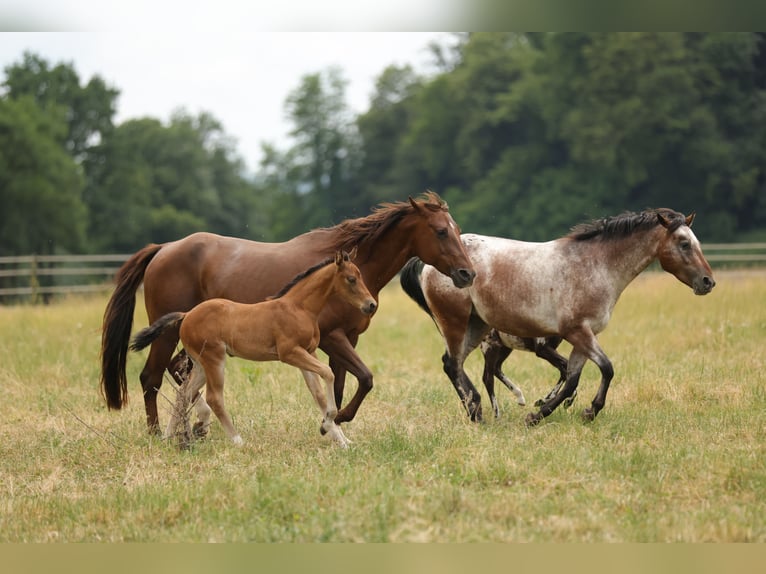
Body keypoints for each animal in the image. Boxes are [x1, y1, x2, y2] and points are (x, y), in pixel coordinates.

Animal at [129, 251, 377, 448]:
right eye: (351, 279)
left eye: (360, 276)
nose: (371, 305)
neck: (298, 307)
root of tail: (187, 314)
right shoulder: (290, 353)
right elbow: (329, 373)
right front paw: (329, 425)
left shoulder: (308, 352)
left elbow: (318, 394)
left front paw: (340, 438)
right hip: (214, 359)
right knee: (214, 397)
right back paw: (237, 440)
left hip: (199, 364)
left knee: (183, 393)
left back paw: (168, 438)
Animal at [400, 208, 716, 425]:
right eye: (684, 244)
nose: (708, 281)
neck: (596, 266)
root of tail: (428, 263)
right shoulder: (577, 333)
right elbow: (606, 369)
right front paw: (587, 410)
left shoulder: (583, 338)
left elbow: (572, 378)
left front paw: (542, 414)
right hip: (456, 322)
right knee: (454, 365)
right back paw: (476, 409)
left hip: (477, 327)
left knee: (454, 364)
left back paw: (479, 410)